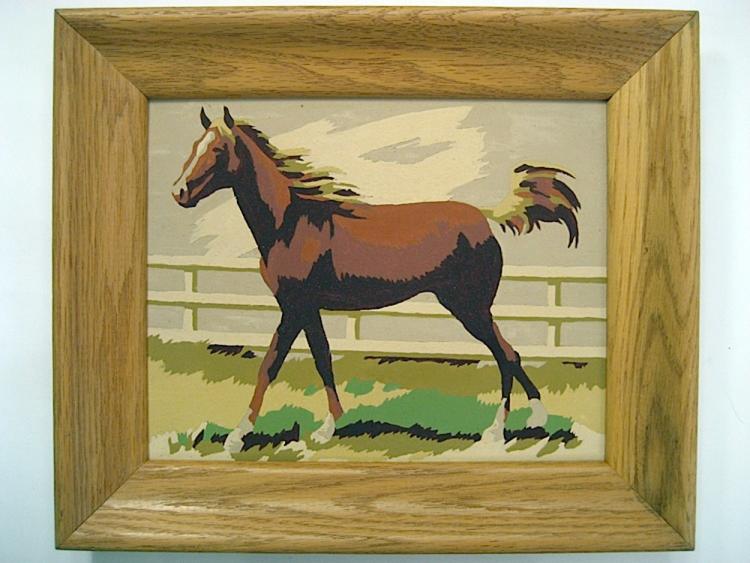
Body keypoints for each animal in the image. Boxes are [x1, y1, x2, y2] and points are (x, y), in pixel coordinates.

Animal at [173, 106, 580, 452]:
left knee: (506, 354)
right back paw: (527, 421)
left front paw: (237, 436)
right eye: (194, 146)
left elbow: (269, 364)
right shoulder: (308, 309)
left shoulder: (293, 306)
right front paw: (329, 427)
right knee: (507, 354)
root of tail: (486, 217)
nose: (179, 192)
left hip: (470, 307)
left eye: (218, 149)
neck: (290, 224)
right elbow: (323, 359)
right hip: (470, 308)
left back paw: (502, 429)